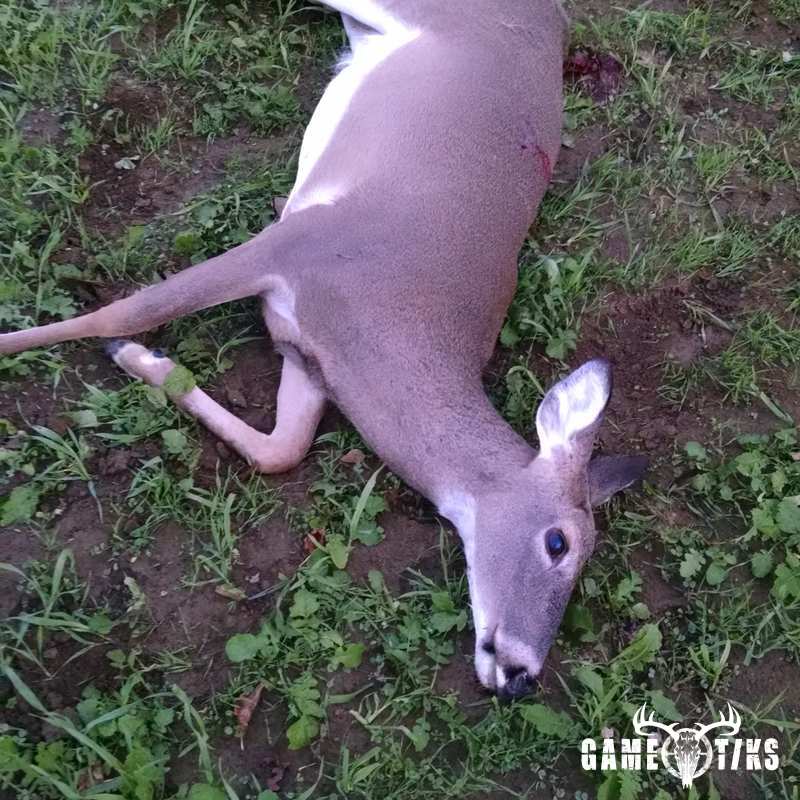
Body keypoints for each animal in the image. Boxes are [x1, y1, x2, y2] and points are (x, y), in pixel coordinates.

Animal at [0, 0, 646, 700]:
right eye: (559, 543)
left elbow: (281, 449)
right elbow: (117, 310)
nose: (522, 676)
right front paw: (45, 343)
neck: (399, 328)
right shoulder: (296, 243)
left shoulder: (308, 352)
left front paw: (141, 359)